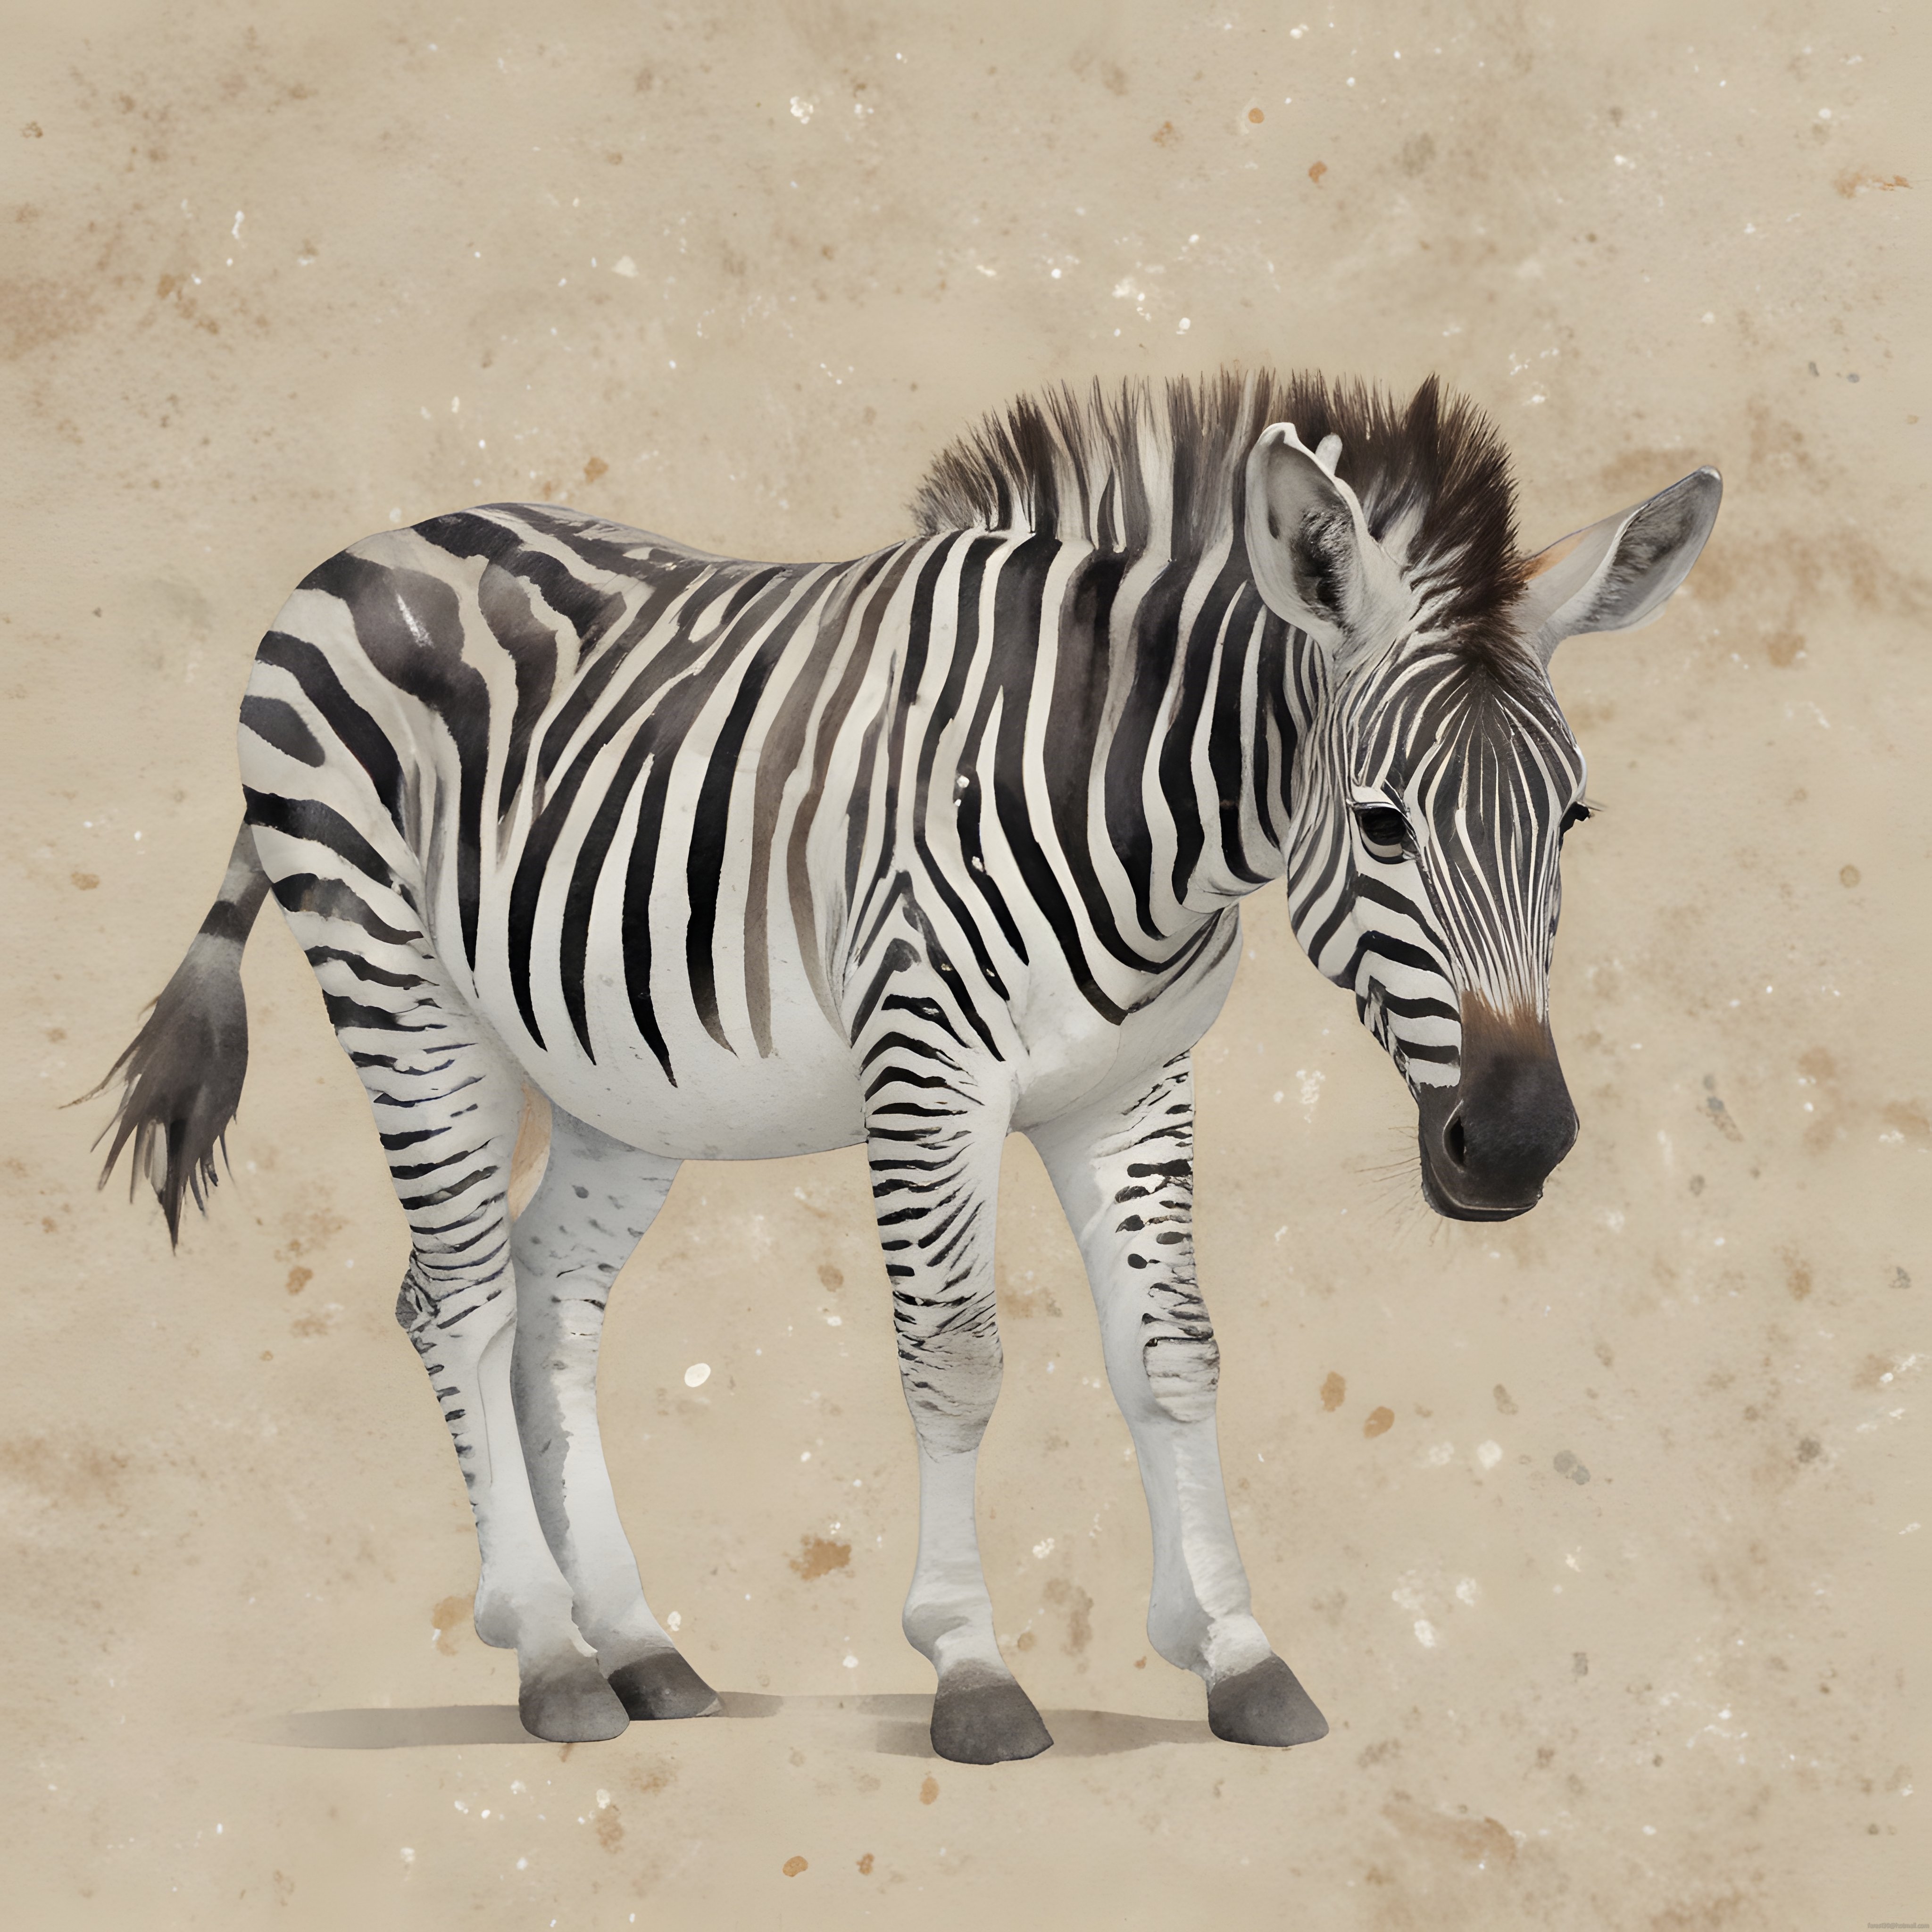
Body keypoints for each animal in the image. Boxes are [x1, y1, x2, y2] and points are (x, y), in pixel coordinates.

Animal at [93, 370, 1719, 1764]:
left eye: (1572, 817)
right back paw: (549, 1651)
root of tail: (372, 545)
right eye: (1383, 822)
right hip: (400, 986)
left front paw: (1236, 1651)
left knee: (553, 1303)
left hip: (620, 1071)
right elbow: (957, 1356)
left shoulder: (1129, 1085)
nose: (1517, 1143)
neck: (1140, 804)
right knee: (460, 1300)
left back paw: (637, 1644)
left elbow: (1173, 1355)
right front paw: (973, 1669)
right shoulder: (928, 1067)